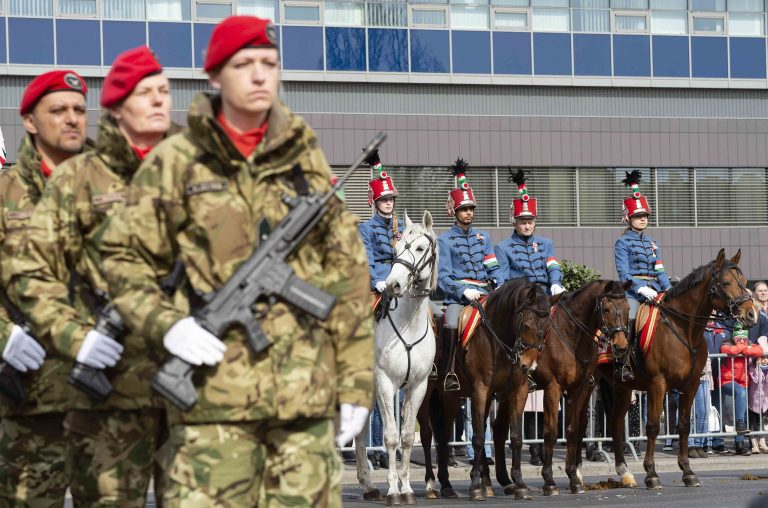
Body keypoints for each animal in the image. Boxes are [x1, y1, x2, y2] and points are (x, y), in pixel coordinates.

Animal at [354, 209, 438, 504]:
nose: (393, 284)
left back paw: (368, 486)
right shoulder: (385, 383)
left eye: (420, 248)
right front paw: (393, 490)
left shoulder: (417, 386)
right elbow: (390, 437)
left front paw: (407, 488)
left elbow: (407, 437)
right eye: (397, 248)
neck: (408, 322)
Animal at [424, 280, 556, 502]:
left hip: (451, 397)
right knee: (428, 436)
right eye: (526, 325)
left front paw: (519, 485)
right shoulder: (480, 389)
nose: (528, 367)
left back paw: (453, 484)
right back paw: (432, 484)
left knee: (443, 434)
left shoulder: (517, 391)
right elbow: (477, 438)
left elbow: (515, 437)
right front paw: (475, 487)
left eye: (547, 329)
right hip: (425, 396)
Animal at [492, 278, 632, 496]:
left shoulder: (579, 389)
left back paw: (505, 481)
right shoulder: (553, 388)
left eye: (627, 308)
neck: (571, 336)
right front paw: (549, 481)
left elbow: (573, 431)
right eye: (606, 309)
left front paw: (573, 478)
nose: (621, 346)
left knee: (498, 430)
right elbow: (550, 434)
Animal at [592, 249, 756, 488]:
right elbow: (652, 426)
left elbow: (684, 425)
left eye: (744, 281)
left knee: (615, 424)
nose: (751, 314)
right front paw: (651, 474)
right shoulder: (657, 384)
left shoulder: (691, 384)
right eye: (726, 282)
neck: (683, 329)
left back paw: (624, 473)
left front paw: (687, 471)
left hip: (621, 386)